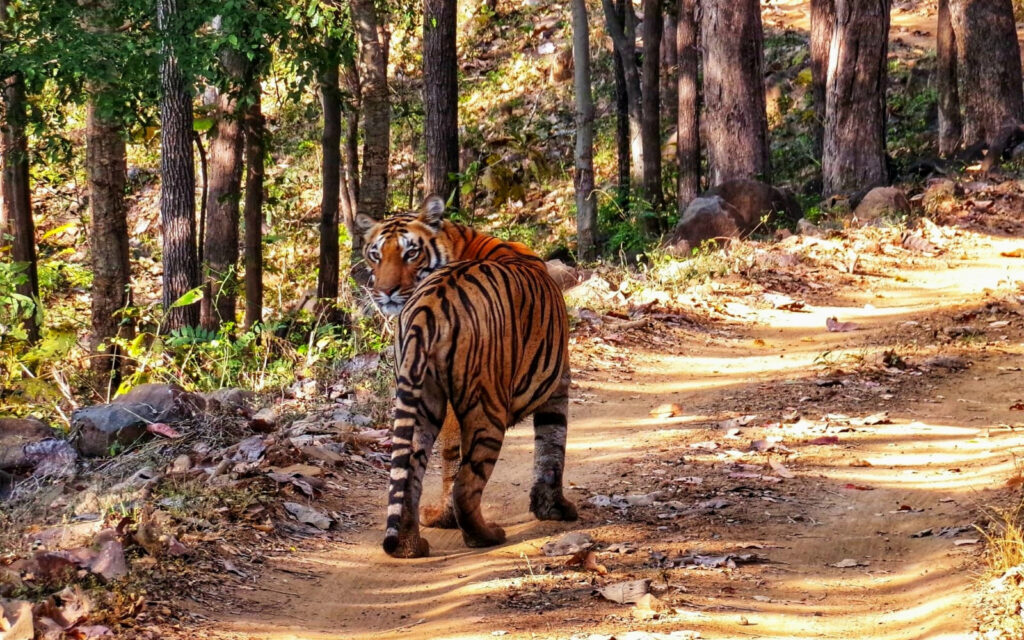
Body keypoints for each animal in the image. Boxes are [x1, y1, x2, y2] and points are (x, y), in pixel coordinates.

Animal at [356, 195, 577, 558]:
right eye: (376, 254)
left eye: (410, 253)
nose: (385, 291)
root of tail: (429, 304)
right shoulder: (558, 380)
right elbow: (552, 444)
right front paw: (554, 509)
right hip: (486, 406)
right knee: (467, 480)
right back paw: (483, 535)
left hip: (421, 398)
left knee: (410, 472)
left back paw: (409, 545)